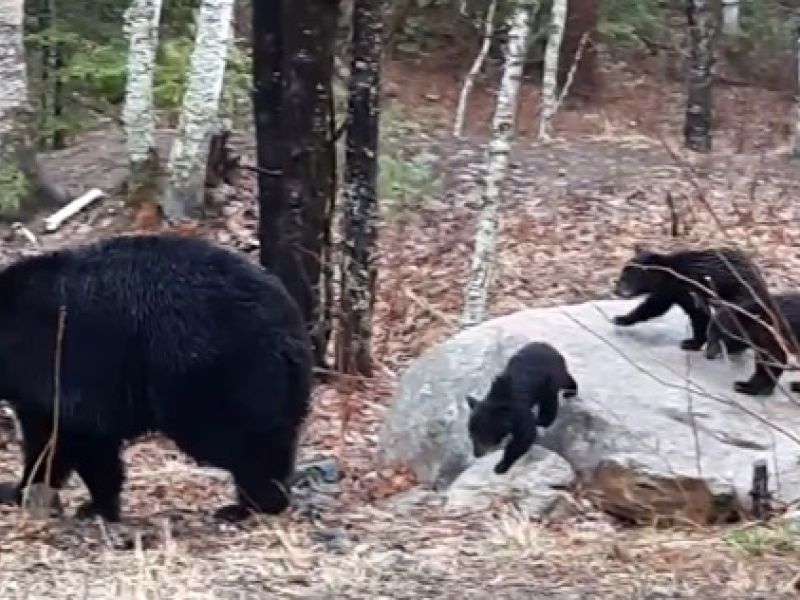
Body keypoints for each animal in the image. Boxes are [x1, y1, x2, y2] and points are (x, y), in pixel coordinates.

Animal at [0, 233, 313, 523]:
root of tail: (291, 327)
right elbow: (76, 444)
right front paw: (95, 504)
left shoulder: (57, 362)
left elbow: (67, 439)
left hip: (206, 372)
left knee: (236, 437)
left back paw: (253, 503)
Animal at [466, 342, 577, 475]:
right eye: (471, 435)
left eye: (481, 435)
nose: (476, 454)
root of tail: (548, 346)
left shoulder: (519, 412)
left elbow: (524, 436)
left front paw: (501, 466)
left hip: (552, 377)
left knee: (556, 392)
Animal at [612, 245, 770, 352]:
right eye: (623, 273)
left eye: (626, 277)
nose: (616, 290)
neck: (667, 275)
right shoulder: (671, 292)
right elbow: (655, 307)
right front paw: (621, 318)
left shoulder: (685, 287)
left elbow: (696, 313)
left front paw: (691, 343)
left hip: (739, 295)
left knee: (731, 318)